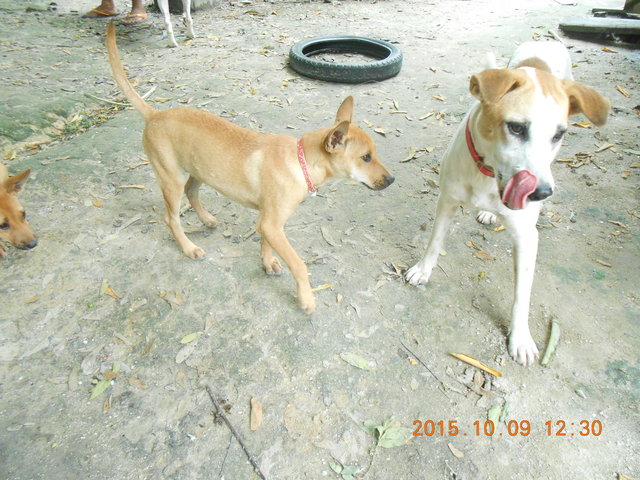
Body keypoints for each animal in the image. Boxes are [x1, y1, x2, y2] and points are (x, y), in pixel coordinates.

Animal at [105, 23, 392, 316]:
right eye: (366, 157)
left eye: (374, 154)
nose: (391, 179)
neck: (299, 161)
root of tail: (154, 115)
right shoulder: (271, 223)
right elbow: (299, 264)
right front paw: (306, 298)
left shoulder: (269, 222)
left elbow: (265, 243)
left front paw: (268, 263)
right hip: (170, 178)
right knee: (171, 218)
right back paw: (188, 247)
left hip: (198, 170)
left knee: (191, 192)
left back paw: (206, 219)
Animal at [408, 40, 608, 364]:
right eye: (516, 128)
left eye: (558, 135)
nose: (541, 193)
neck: (487, 175)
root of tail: (545, 41)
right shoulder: (447, 201)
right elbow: (435, 241)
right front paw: (423, 270)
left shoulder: (527, 237)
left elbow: (521, 296)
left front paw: (521, 338)